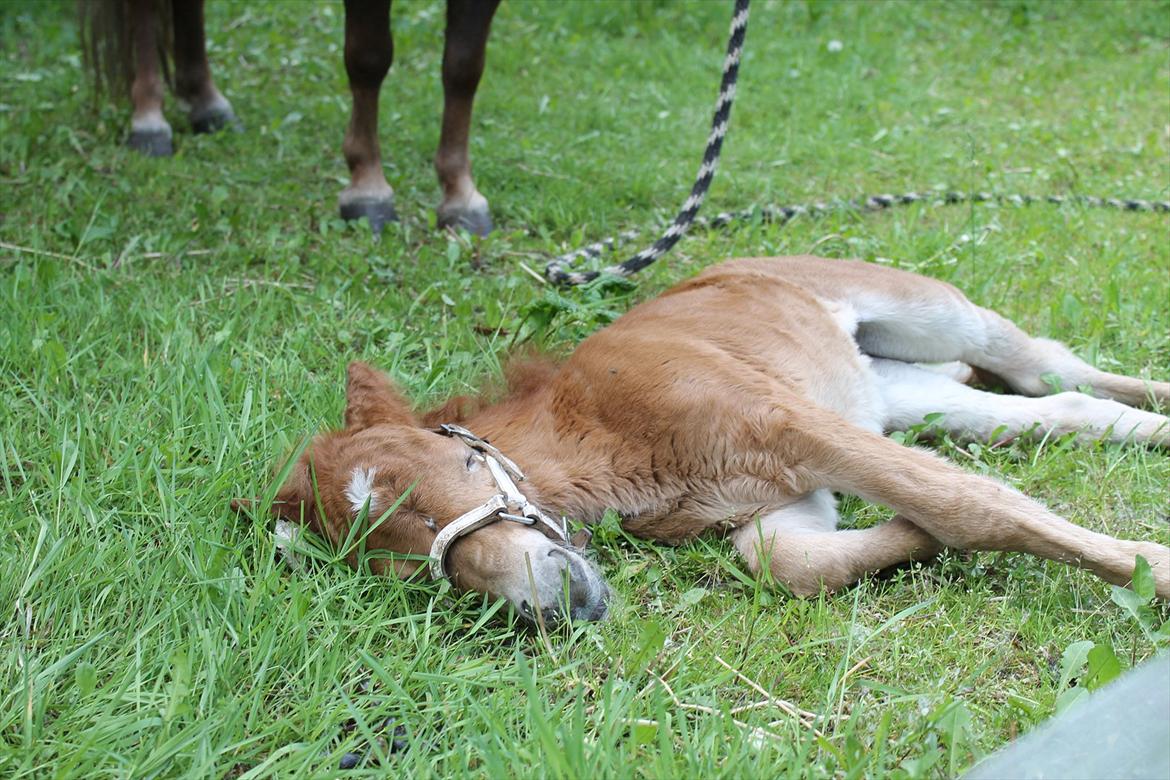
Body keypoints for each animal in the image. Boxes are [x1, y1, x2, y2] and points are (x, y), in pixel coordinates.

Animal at [80, 0, 500, 235]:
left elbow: (463, 67)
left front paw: (461, 198)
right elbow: (369, 55)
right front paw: (368, 189)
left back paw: (207, 102)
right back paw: (149, 119)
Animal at [263, 259, 1170, 626]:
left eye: (459, 463)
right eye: (411, 572)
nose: (549, 604)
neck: (604, 437)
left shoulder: (789, 424)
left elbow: (969, 503)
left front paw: (1151, 571)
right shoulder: (788, 498)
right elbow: (786, 560)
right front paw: (918, 541)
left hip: (934, 314)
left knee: (1046, 362)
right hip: (908, 394)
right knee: (1064, 407)